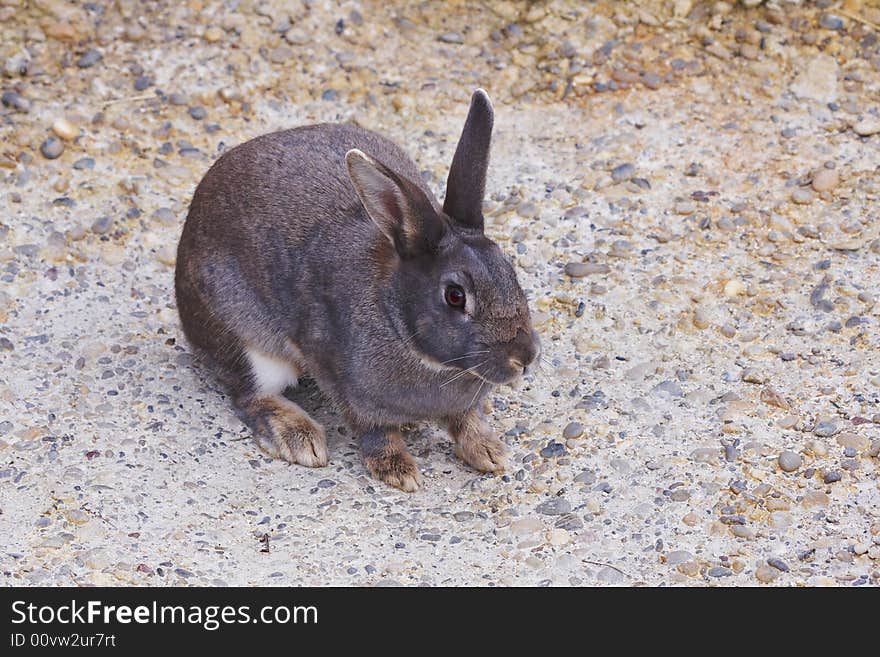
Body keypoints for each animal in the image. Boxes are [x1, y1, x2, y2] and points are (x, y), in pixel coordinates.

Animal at [175, 87, 540, 490]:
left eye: (509, 271)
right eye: (455, 296)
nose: (525, 357)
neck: (396, 318)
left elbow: (467, 419)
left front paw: (489, 452)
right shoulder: (343, 382)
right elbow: (373, 430)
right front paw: (398, 470)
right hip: (243, 339)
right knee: (247, 394)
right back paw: (299, 437)